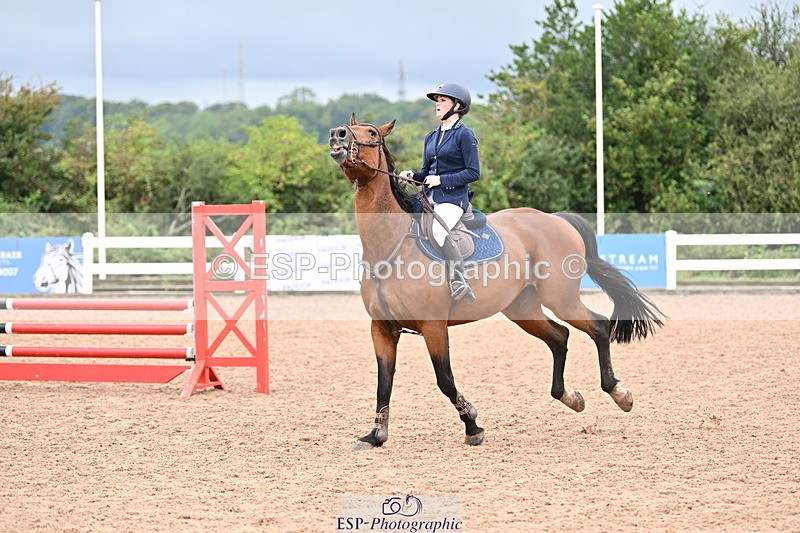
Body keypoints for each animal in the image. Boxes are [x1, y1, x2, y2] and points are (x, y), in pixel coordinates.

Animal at [329, 115, 664, 449]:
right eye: (349, 127)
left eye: (371, 133)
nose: (337, 135)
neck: (391, 246)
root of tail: (555, 218)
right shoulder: (382, 328)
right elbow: (383, 382)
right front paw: (375, 435)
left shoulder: (433, 326)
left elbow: (445, 380)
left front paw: (472, 425)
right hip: (522, 308)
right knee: (560, 337)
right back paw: (570, 397)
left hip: (561, 299)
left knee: (598, 327)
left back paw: (619, 393)